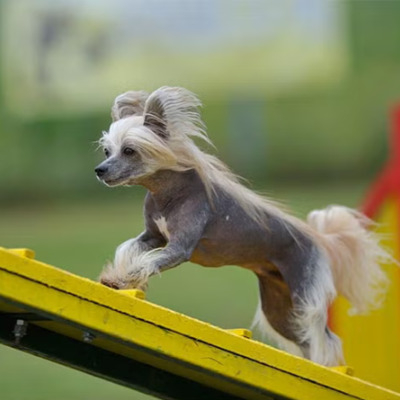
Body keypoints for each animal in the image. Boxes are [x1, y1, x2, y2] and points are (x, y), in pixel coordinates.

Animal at [94, 86, 390, 366]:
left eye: (129, 150)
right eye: (108, 151)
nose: (100, 170)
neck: (169, 193)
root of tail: (321, 240)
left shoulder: (179, 248)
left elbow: (148, 261)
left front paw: (125, 278)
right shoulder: (152, 238)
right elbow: (128, 249)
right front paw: (116, 276)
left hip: (304, 296)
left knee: (326, 340)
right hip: (278, 309)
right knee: (305, 339)